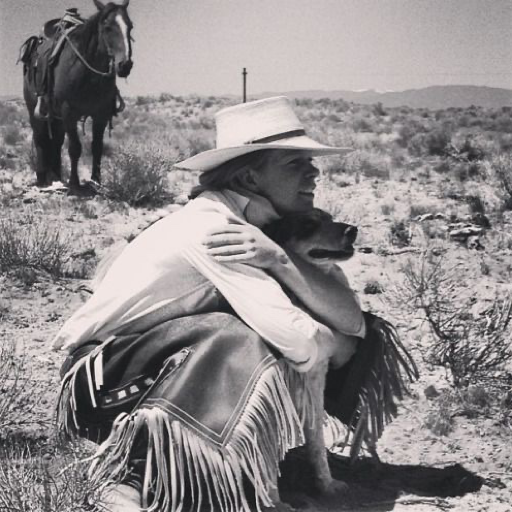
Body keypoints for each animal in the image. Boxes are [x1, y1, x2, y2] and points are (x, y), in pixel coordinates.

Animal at [22, 0, 134, 194]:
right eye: (107, 27)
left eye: (130, 27)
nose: (125, 65)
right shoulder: (69, 112)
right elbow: (75, 148)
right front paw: (74, 183)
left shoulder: (100, 115)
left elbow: (97, 147)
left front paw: (96, 180)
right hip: (35, 113)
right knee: (40, 139)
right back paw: (42, 178)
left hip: (56, 118)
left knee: (56, 141)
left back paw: (56, 176)